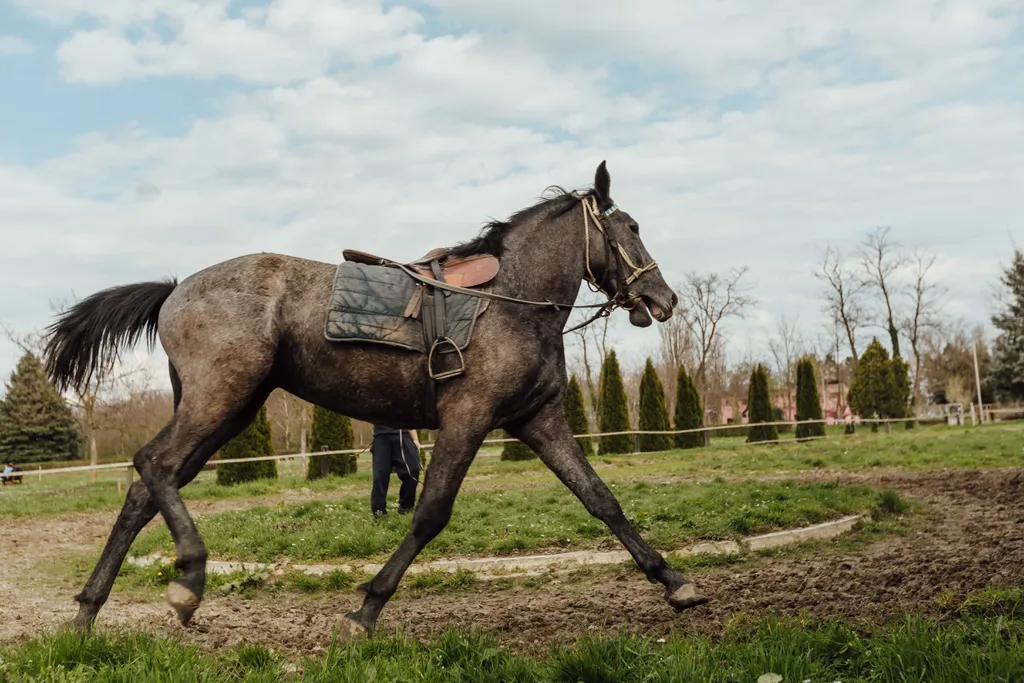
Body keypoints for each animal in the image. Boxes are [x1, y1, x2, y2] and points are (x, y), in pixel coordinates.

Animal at [44, 161, 708, 643]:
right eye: (629, 229)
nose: (664, 298)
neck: (510, 302)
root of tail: (176, 289)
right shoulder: (467, 419)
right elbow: (430, 513)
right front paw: (365, 609)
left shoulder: (536, 420)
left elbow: (602, 500)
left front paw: (675, 582)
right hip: (220, 401)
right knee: (152, 467)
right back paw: (188, 577)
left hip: (228, 411)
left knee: (145, 489)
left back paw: (88, 612)